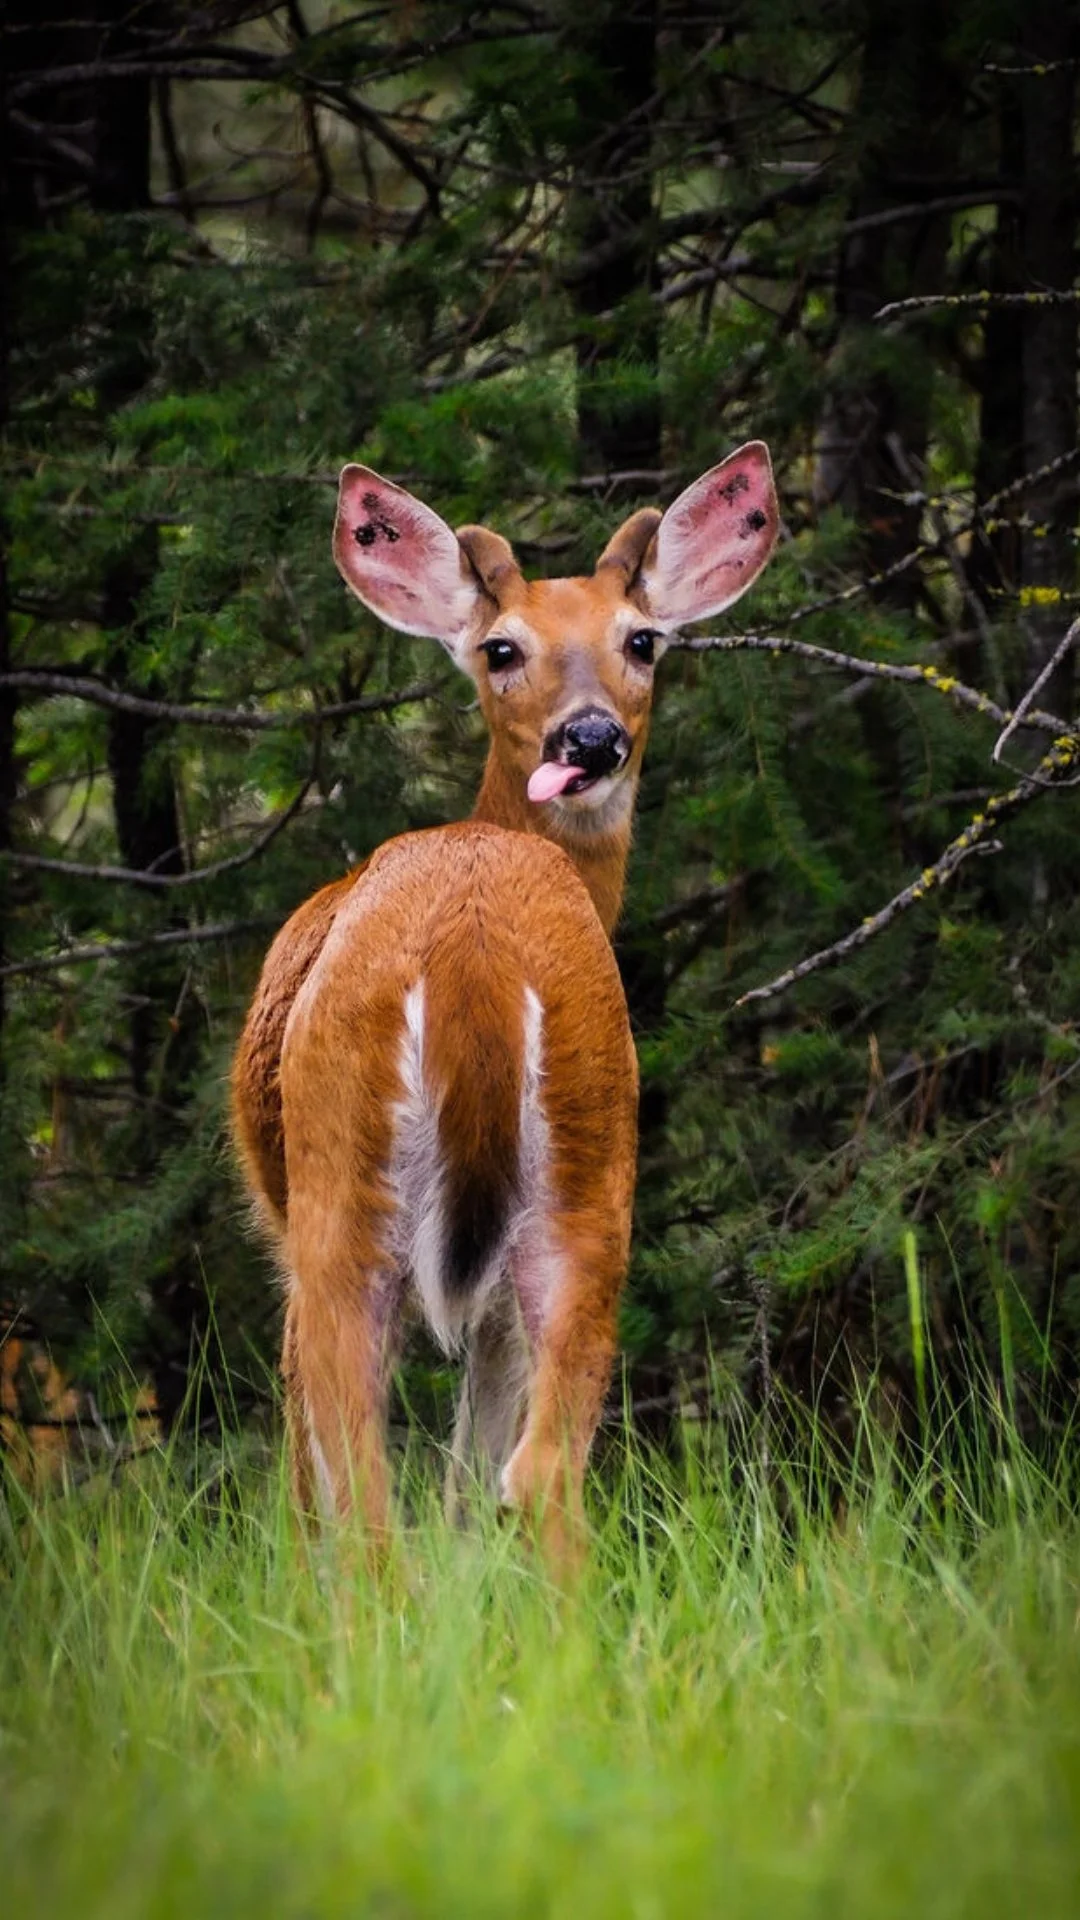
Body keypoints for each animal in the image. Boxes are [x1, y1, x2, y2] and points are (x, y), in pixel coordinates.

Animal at [231, 444, 778, 1570]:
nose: (591, 737)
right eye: (501, 648)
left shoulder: (288, 1237)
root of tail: (475, 954)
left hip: (338, 1190)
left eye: (641, 640)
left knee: (363, 1491)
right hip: (594, 1165)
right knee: (538, 1474)